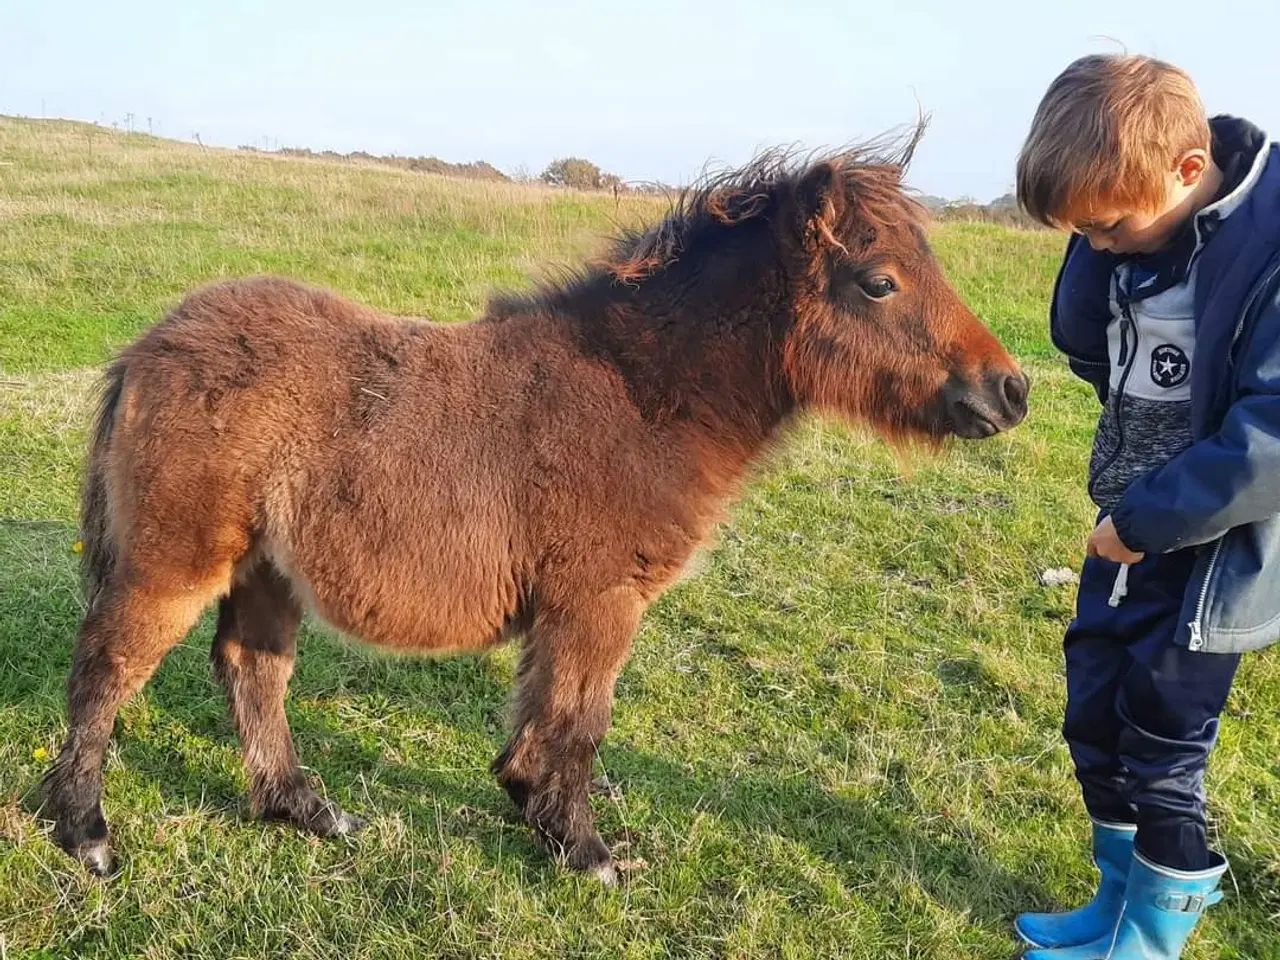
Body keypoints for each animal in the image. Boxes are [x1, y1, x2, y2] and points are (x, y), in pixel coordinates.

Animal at [42, 138, 1029, 885]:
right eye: (878, 282)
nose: (1010, 391)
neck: (640, 400)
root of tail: (150, 345)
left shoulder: (568, 606)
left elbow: (540, 717)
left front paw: (532, 809)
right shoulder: (600, 600)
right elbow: (579, 724)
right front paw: (585, 850)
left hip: (264, 569)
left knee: (252, 670)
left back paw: (305, 809)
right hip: (174, 563)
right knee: (107, 670)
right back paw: (85, 834)